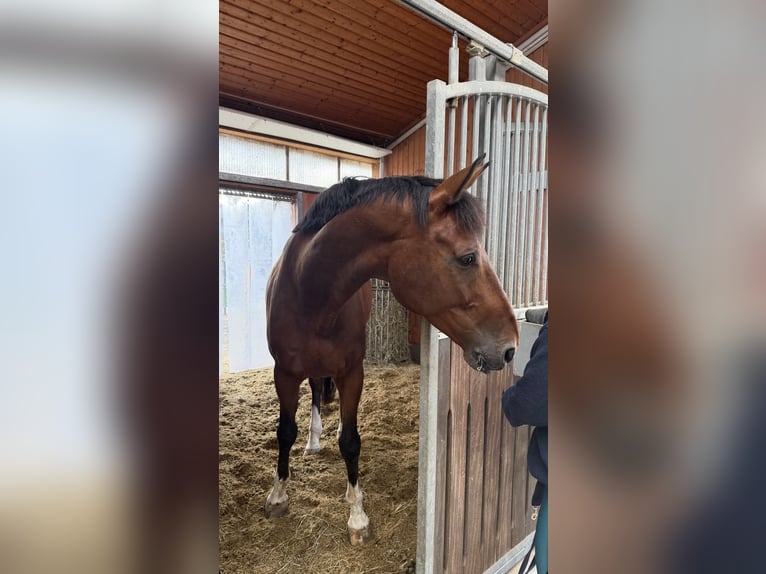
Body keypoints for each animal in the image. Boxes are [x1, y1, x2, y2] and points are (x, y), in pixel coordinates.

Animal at [264, 155, 519, 544]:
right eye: (468, 258)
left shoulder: (352, 372)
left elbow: (351, 441)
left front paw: (357, 515)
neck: (309, 292)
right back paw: (313, 439)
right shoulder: (285, 372)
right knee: (315, 393)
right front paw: (278, 495)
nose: (509, 348)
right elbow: (285, 431)